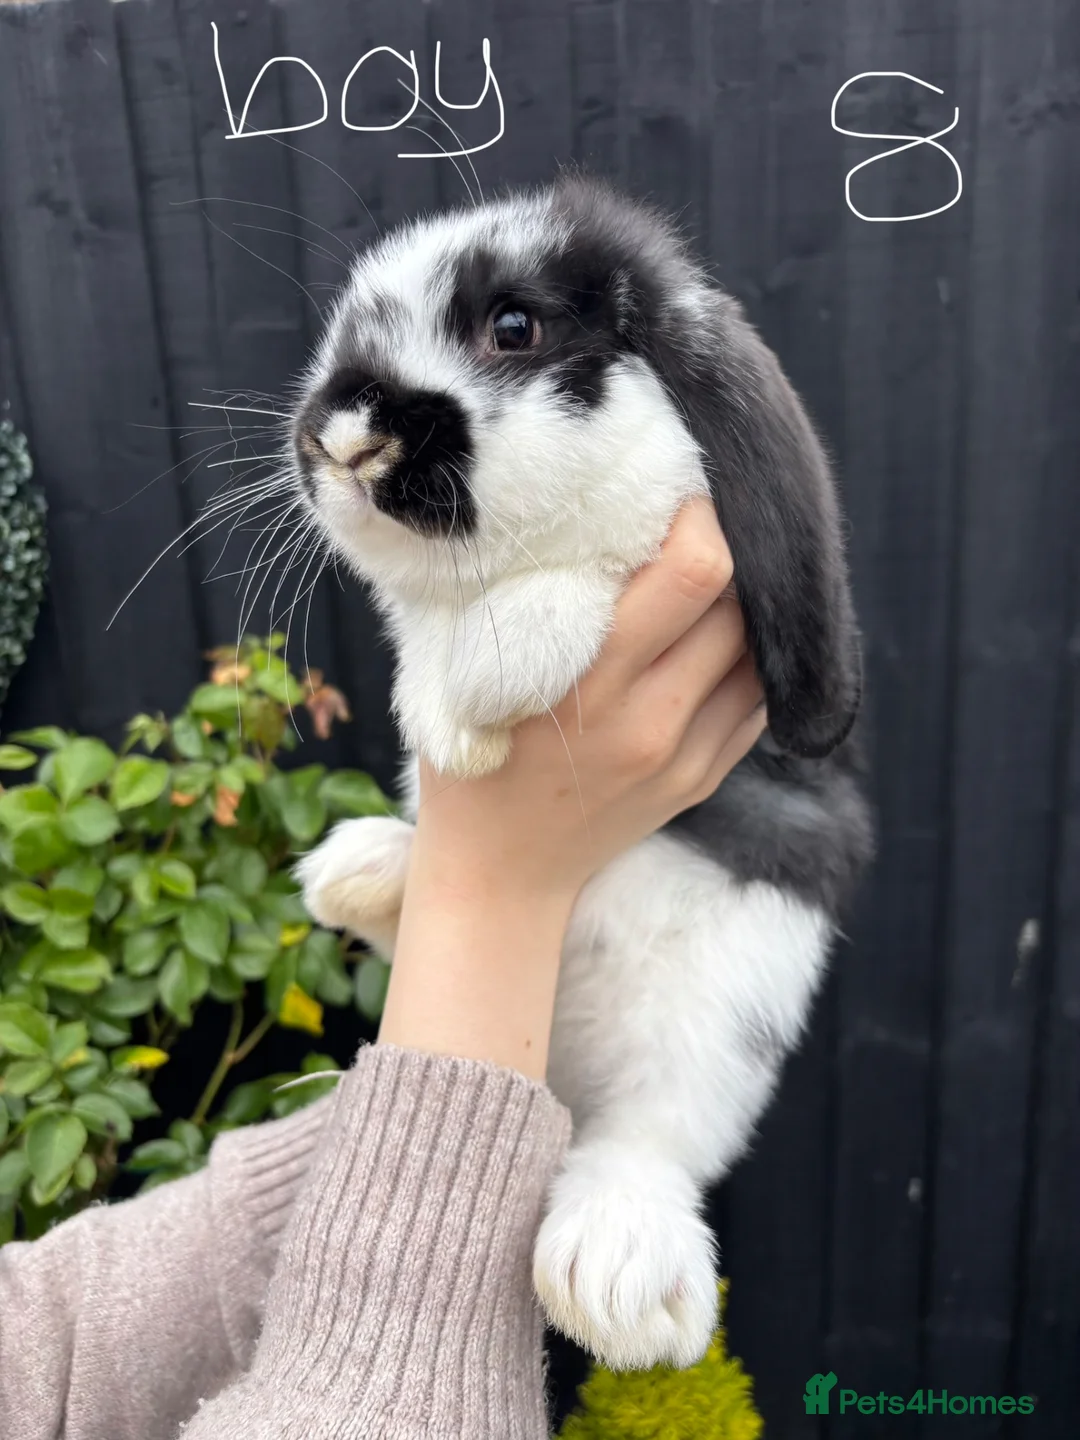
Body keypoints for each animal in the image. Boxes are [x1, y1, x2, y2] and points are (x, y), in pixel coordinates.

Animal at [289, 173, 874, 1371]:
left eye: (513, 327)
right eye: (341, 336)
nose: (345, 435)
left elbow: (578, 583)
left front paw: (469, 693)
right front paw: (437, 710)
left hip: (722, 1000)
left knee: (652, 1138)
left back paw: (615, 1268)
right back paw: (363, 870)